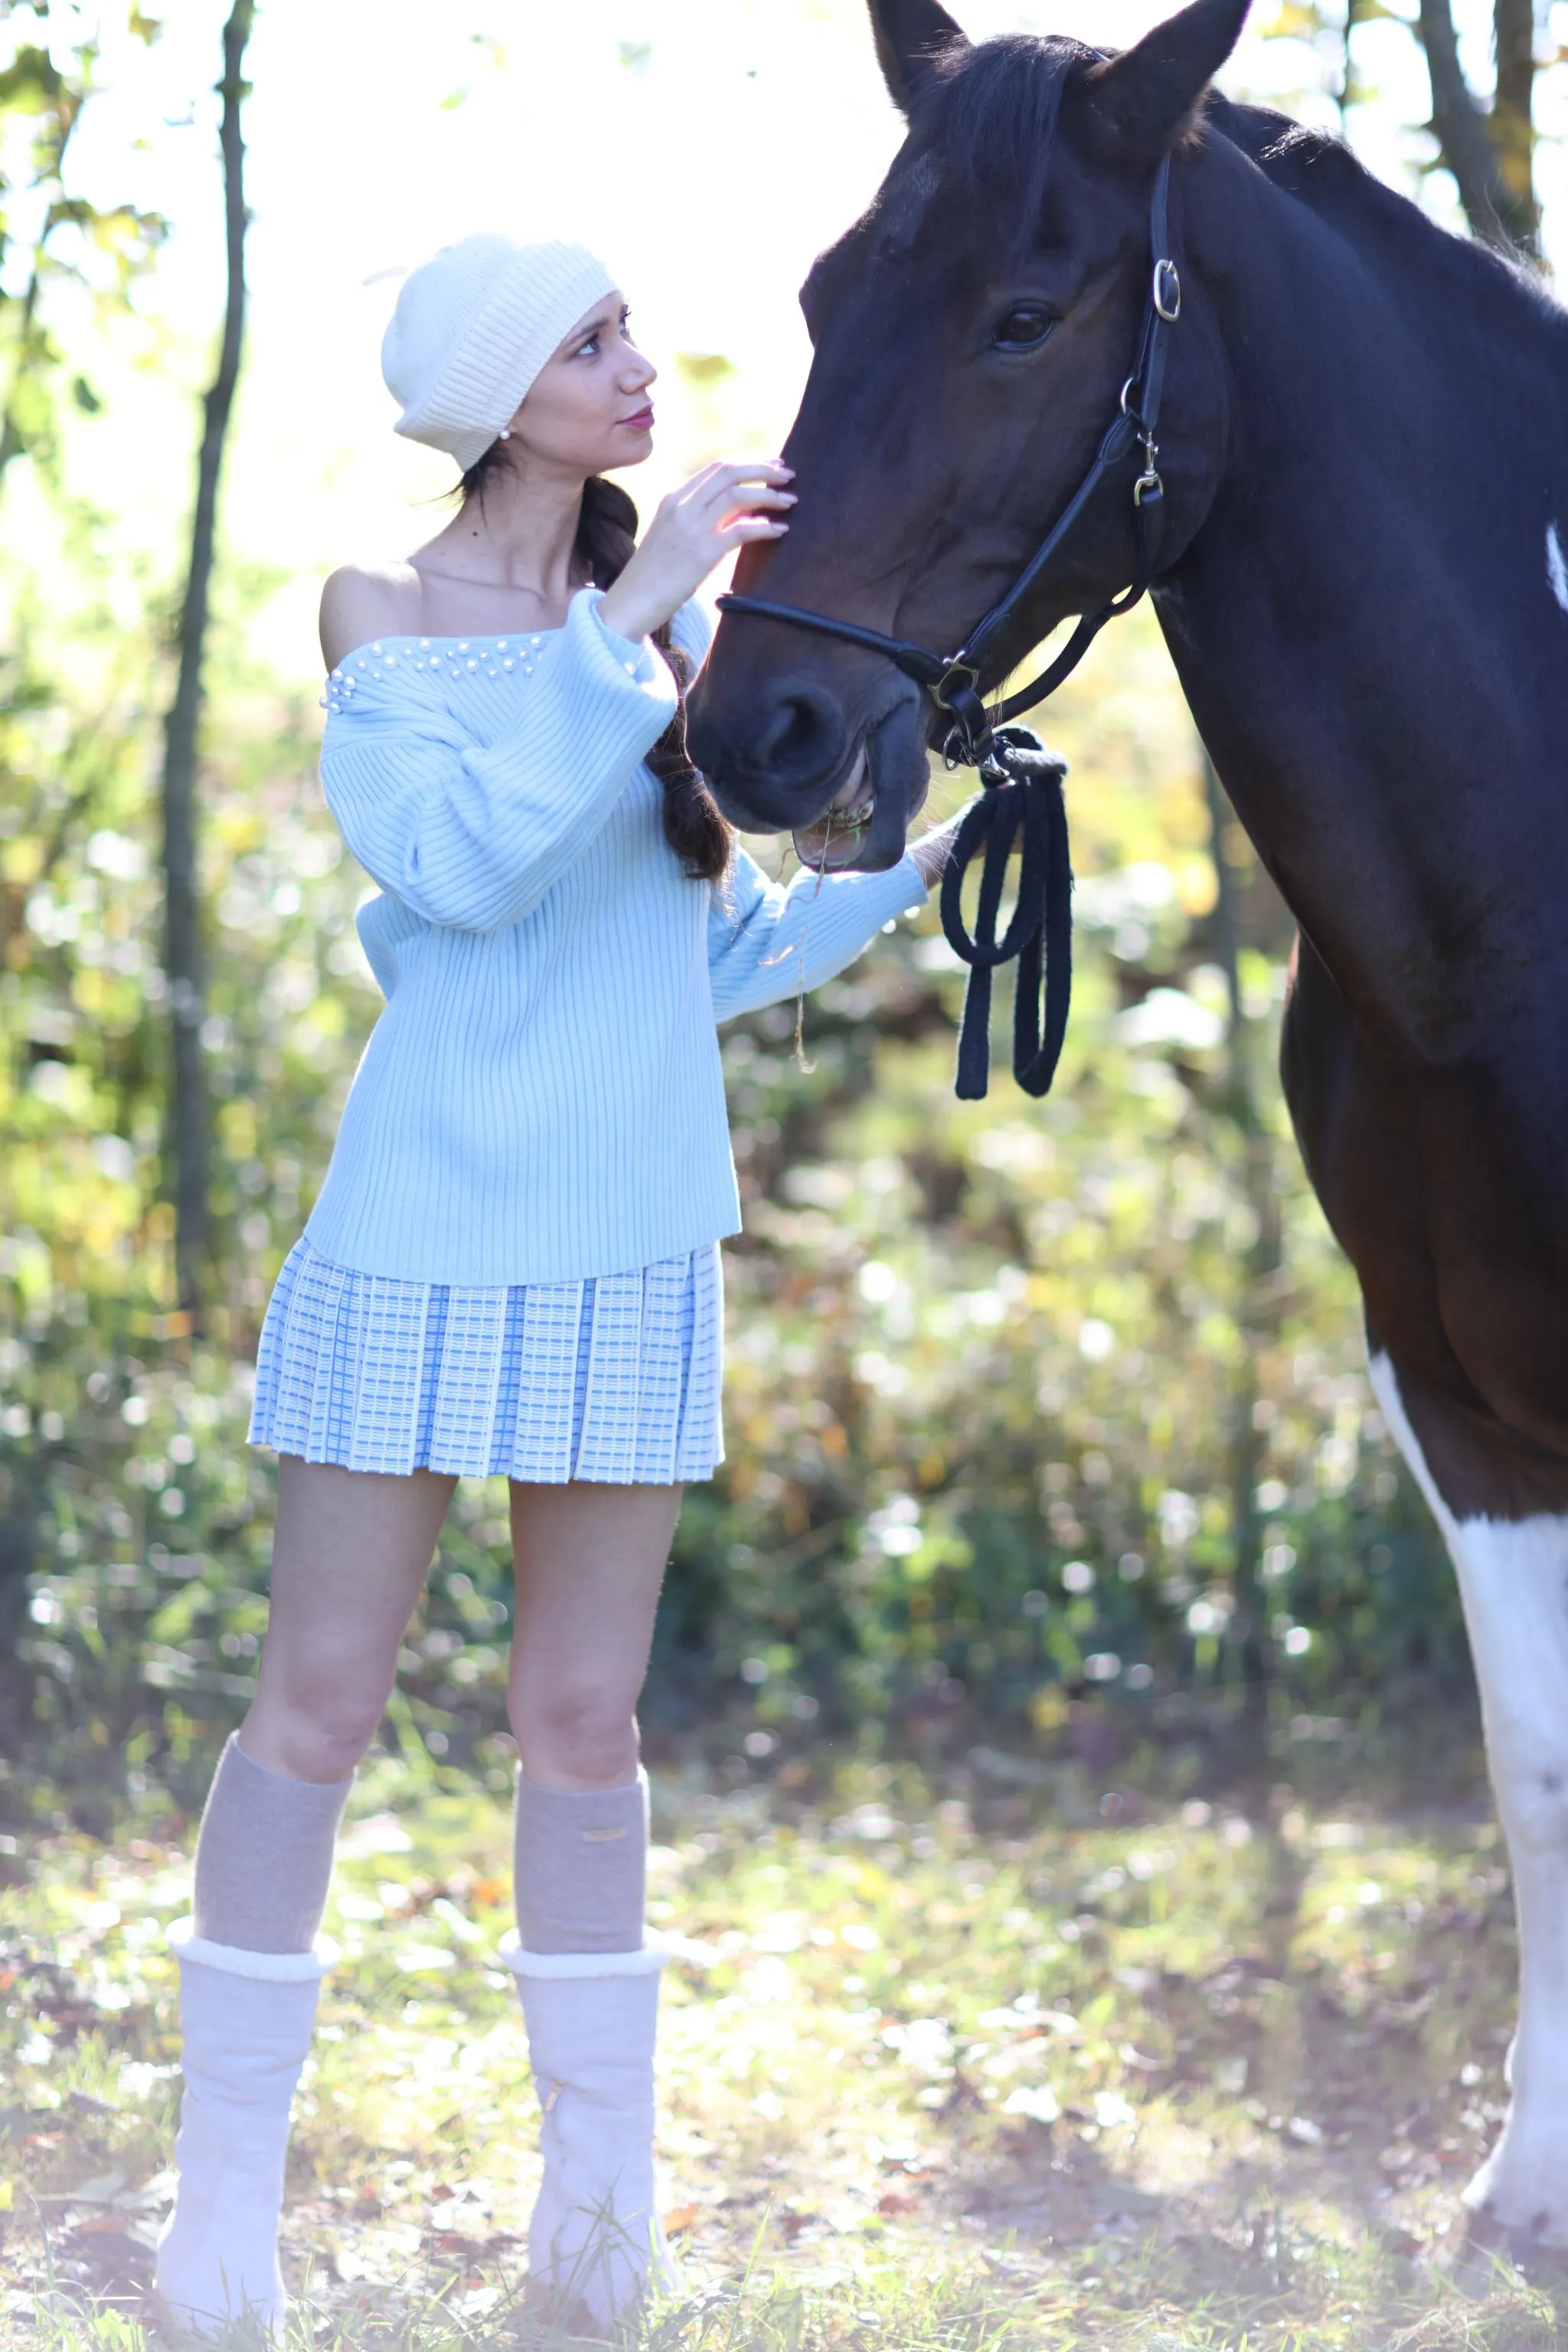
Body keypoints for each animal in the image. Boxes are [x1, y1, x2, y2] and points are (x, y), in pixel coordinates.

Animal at [691, 0, 1568, 2258]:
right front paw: (1523, 2189)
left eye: (1022, 315)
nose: (756, 733)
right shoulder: (1457, 1400)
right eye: (823, 296)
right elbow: (1534, 1766)